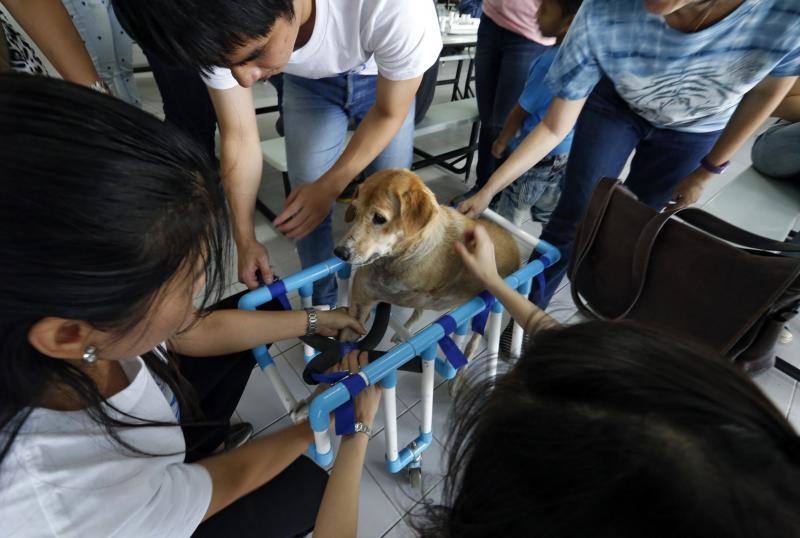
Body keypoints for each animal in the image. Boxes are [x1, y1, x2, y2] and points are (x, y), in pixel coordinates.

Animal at [334, 165, 520, 348]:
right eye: (355, 210)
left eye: (379, 218)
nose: (339, 252)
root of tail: (515, 246)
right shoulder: (360, 302)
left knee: (474, 339)